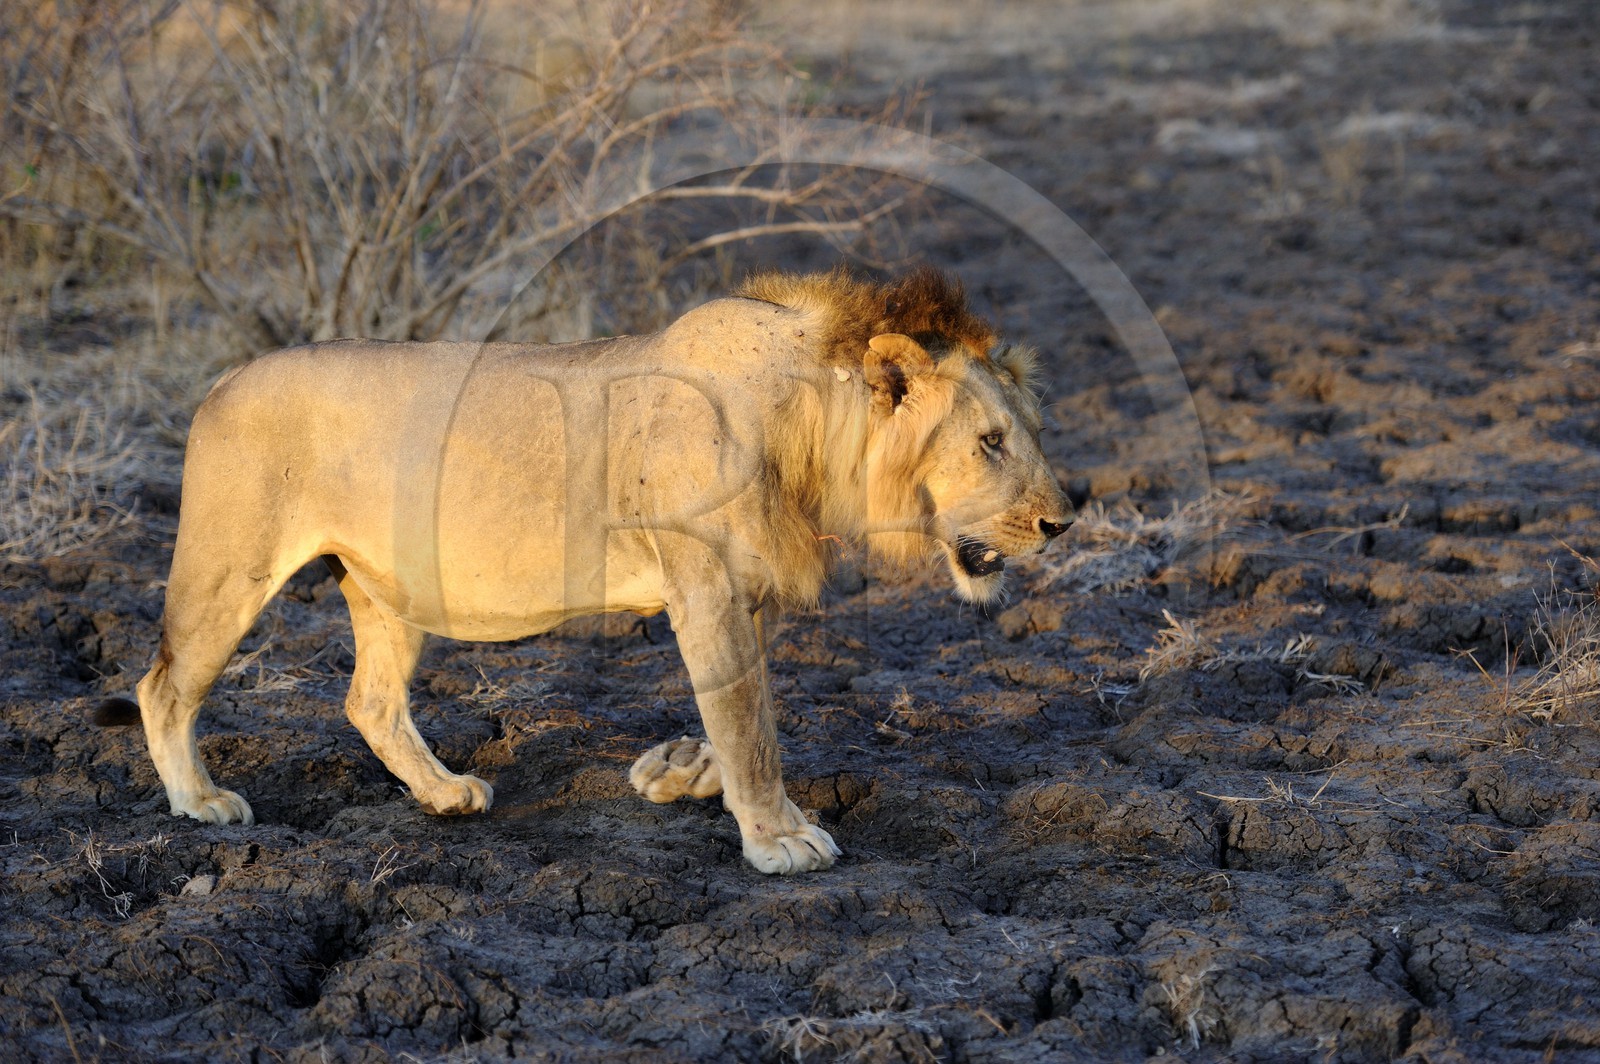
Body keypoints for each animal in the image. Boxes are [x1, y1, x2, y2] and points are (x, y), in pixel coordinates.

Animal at [94, 267, 1074, 875]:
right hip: (230, 568)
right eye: (990, 442)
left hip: (383, 585)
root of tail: (220, 383)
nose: (1062, 520)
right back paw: (200, 800)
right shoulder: (705, 581)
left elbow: (745, 713)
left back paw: (445, 793)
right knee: (163, 685)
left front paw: (677, 771)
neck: (806, 429)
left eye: (1030, 432)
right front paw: (778, 839)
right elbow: (750, 720)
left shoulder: (746, 589)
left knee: (368, 702)